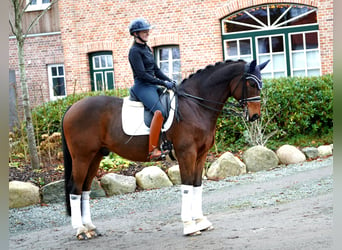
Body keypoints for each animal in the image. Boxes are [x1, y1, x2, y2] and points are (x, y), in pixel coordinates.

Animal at [61, 59, 270, 240]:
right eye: (251, 83)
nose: (255, 116)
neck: (195, 106)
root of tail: (72, 106)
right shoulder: (187, 153)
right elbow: (186, 186)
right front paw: (189, 226)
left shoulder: (201, 155)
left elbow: (197, 185)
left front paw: (201, 221)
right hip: (82, 157)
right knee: (75, 188)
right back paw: (80, 230)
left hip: (95, 157)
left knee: (85, 189)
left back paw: (90, 227)